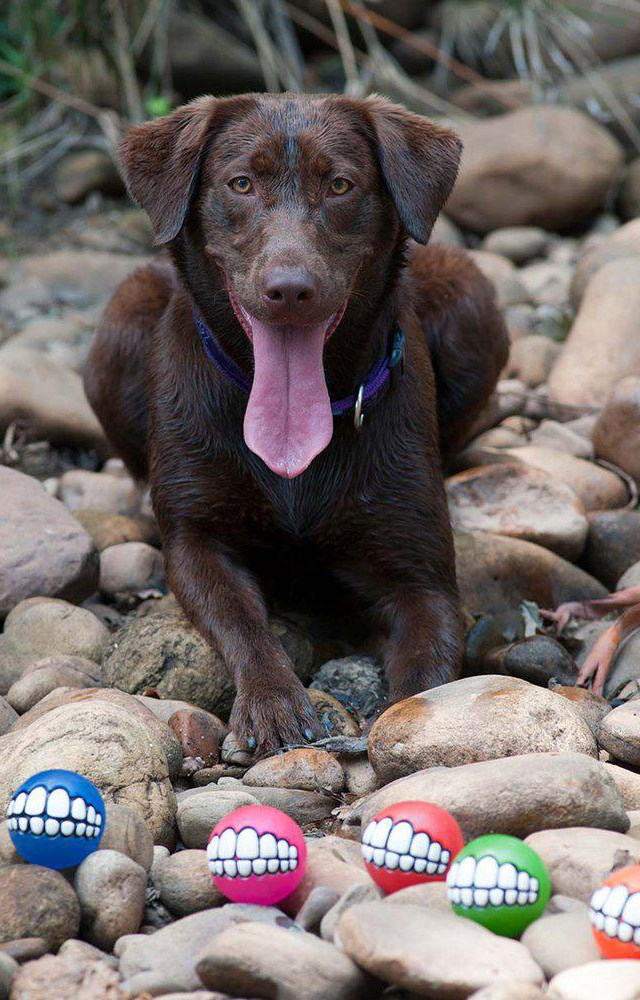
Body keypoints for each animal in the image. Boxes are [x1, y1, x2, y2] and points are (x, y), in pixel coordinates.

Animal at [85, 94, 508, 752]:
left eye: (339, 185)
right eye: (241, 184)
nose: (289, 290)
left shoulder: (425, 579)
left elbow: (426, 671)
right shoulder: (197, 540)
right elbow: (241, 620)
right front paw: (273, 703)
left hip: (468, 302)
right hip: (122, 322)